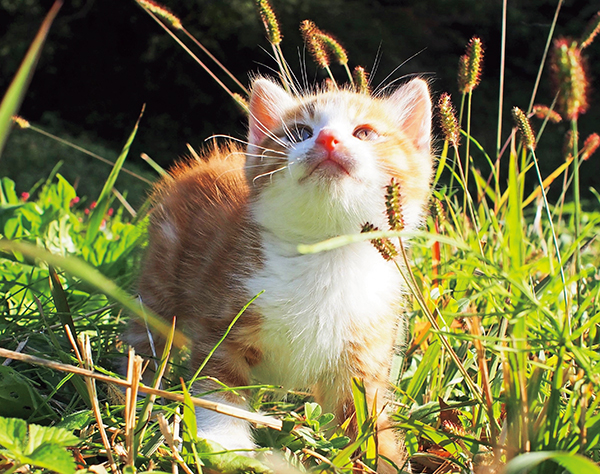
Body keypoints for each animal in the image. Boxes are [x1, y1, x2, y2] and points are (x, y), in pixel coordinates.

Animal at [126, 77, 432, 470]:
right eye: (301, 132)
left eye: (364, 132)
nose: (328, 139)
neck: (324, 255)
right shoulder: (226, 311)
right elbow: (219, 384)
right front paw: (225, 444)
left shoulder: (366, 346)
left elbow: (363, 417)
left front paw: (381, 459)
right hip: (162, 272)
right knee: (146, 332)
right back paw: (131, 391)